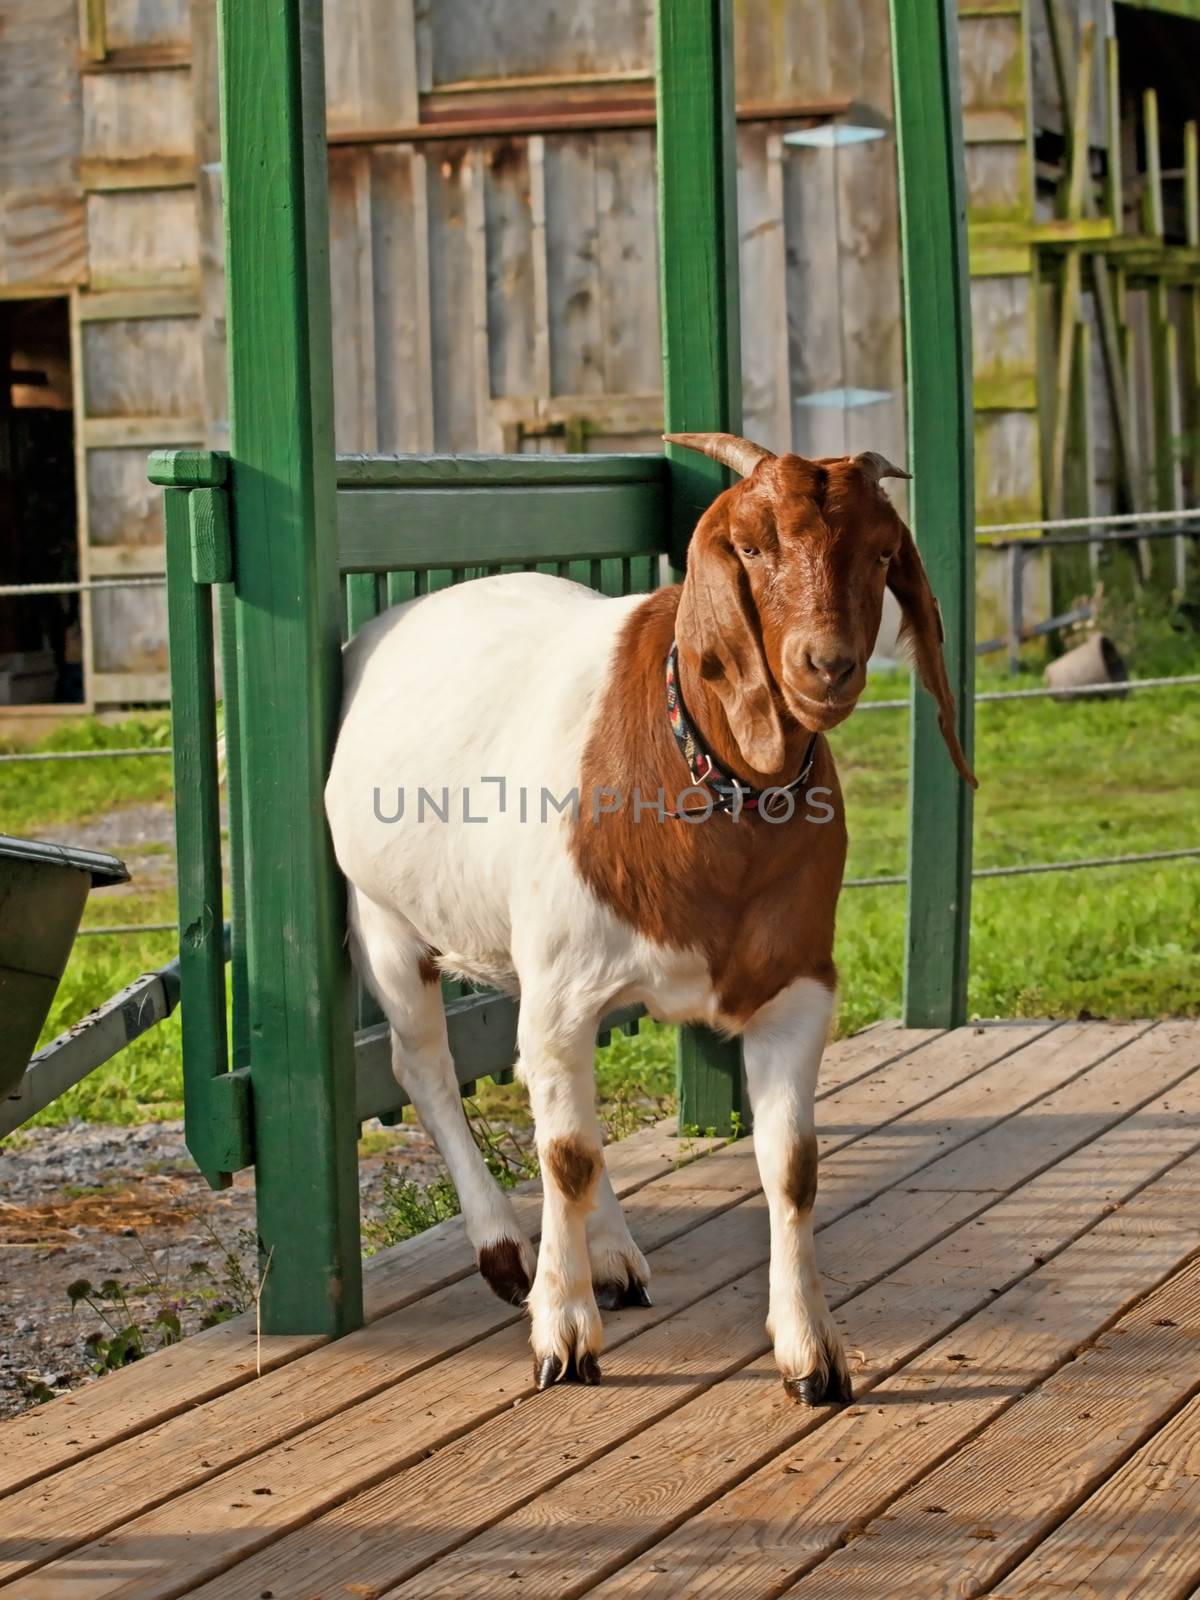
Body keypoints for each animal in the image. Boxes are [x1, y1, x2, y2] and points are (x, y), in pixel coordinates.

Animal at [326, 435, 979, 1401]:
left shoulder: (794, 987)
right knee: (431, 1072)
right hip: (383, 919)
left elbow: (791, 1167)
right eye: (748, 546)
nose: (826, 665)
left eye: (881, 553)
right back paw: (505, 1251)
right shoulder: (558, 986)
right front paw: (562, 1336)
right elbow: (564, 1155)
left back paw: (610, 1254)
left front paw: (811, 1350)